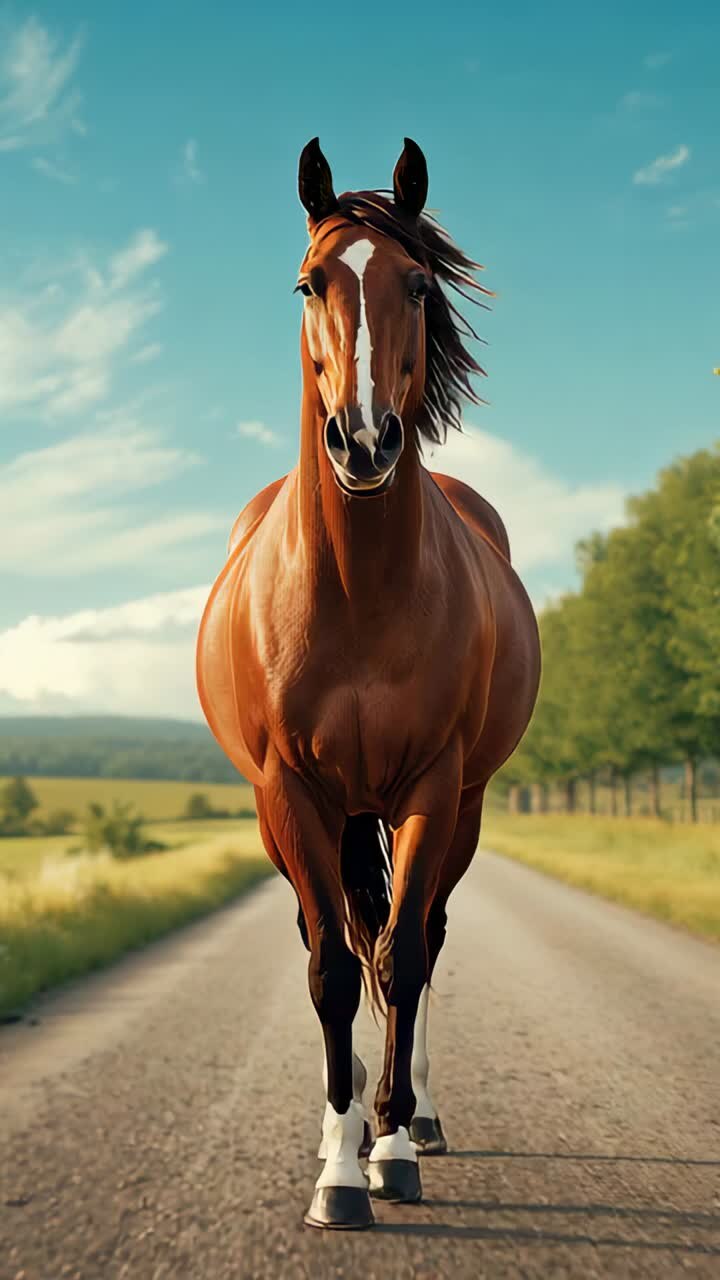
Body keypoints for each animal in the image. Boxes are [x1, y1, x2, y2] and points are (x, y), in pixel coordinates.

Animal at [196, 137, 540, 1230]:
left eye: (419, 284)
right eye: (311, 281)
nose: (364, 442)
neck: (356, 588)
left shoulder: (433, 785)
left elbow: (402, 954)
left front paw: (387, 1147)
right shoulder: (292, 791)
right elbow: (332, 967)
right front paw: (338, 1170)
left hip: (450, 805)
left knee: (418, 935)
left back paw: (410, 1115)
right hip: (321, 813)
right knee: (336, 934)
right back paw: (336, 1117)